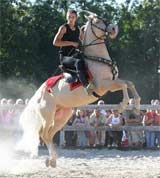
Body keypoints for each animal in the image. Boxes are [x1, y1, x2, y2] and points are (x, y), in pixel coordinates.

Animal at [16, 10, 141, 167]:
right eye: (97, 21)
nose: (114, 29)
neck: (96, 59)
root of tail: (38, 94)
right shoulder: (103, 86)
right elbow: (124, 85)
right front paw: (122, 105)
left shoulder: (112, 82)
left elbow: (130, 83)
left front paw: (136, 106)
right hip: (48, 115)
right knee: (44, 134)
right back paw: (51, 159)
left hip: (63, 116)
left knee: (49, 135)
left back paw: (52, 160)